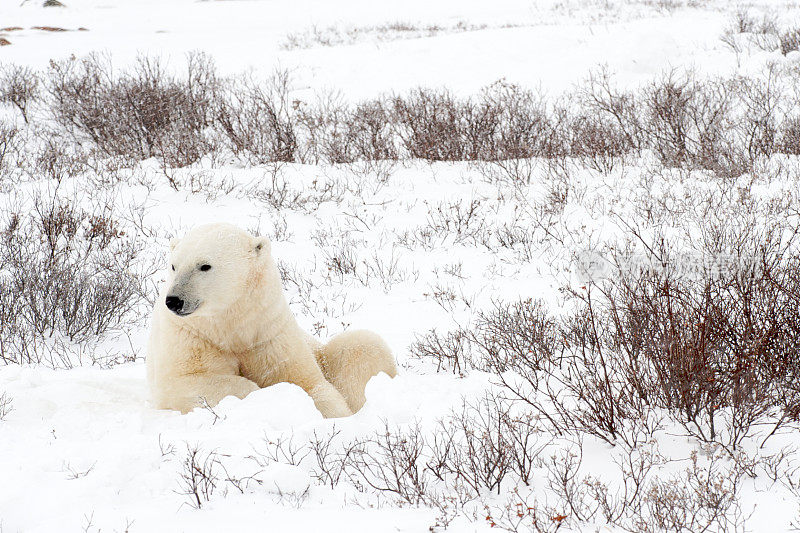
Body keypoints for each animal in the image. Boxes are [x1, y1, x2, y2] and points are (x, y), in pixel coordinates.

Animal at [147, 222, 396, 418]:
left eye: (204, 265)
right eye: (174, 265)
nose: (174, 300)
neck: (231, 325)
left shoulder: (268, 333)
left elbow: (309, 382)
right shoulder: (190, 338)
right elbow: (182, 382)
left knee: (362, 346)